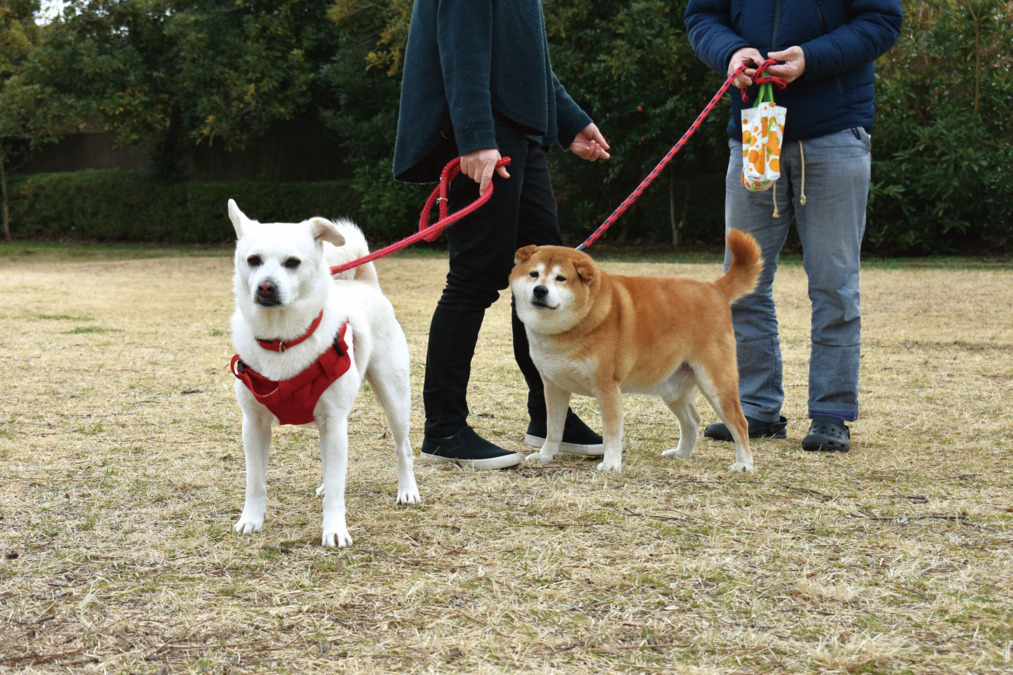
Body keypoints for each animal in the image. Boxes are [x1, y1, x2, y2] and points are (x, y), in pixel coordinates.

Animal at [228, 199, 419, 547]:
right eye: (253, 260)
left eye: (292, 263)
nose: (265, 287)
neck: (283, 340)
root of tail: (363, 282)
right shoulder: (254, 424)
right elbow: (256, 480)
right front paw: (251, 520)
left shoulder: (334, 421)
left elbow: (337, 490)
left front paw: (334, 530)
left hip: (394, 398)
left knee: (404, 448)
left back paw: (407, 490)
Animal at [514, 231, 761, 472]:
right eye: (534, 274)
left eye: (561, 278)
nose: (540, 290)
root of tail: (715, 288)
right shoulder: (554, 387)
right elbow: (553, 429)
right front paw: (546, 455)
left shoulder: (607, 387)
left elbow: (611, 432)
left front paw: (611, 463)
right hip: (673, 389)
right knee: (693, 420)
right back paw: (681, 453)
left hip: (716, 384)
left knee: (740, 423)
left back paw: (744, 463)